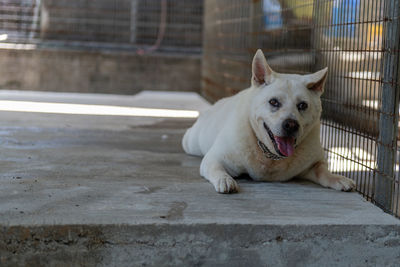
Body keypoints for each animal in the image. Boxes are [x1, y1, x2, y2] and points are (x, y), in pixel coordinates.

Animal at [183, 49, 354, 194]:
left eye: (302, 105)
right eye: (273, 102)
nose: (291, 125)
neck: (271, 156)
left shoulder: (314, 163)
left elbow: (322, 170)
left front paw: (337, 178)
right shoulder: (214, 159)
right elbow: (217, 169)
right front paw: (225, 180)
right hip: (191, 143)